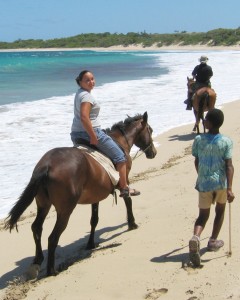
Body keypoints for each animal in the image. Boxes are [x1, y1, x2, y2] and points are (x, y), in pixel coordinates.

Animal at [4, 112, 158, 276]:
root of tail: (46, 165)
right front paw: (132, 223)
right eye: (150, 130)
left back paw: (38, 260)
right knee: (53, 237)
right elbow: (128, 200)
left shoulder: (96, 194)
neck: (119, 141)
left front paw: (90, 243)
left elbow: (94, 219)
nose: (153, 152)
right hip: (65, 209)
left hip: (43, 204)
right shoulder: (124, 180)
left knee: (36, 228)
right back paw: (52, 270)